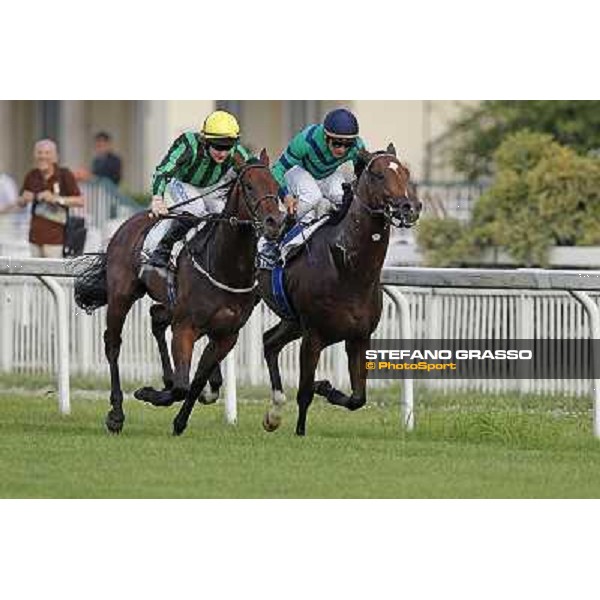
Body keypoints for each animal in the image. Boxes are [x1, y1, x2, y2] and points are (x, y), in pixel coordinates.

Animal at [72, 149, 284, 432]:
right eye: (249, 186)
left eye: (277, 186)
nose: (275, 223)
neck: (223, 264)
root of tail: (128, 223)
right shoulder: (185, 327)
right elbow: (184, 386)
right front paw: (148, 393)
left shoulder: (227, 335)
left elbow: (196, 382)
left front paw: (180, 419)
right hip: (121, 296)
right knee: (113, 345)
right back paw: (116, 414)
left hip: (169, 305)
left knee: (156, 317)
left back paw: (166, 378)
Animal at [258, 145, 422, 436]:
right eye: (378, 175)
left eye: (405, 172)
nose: (409, 207)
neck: (349, 271)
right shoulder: (313, 337)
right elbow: (304, 393)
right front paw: (300, 431)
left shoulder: (359, 337)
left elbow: (358, 397)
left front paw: (325, 386)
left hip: (292, 321)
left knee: (269, 342)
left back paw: (273, 413)